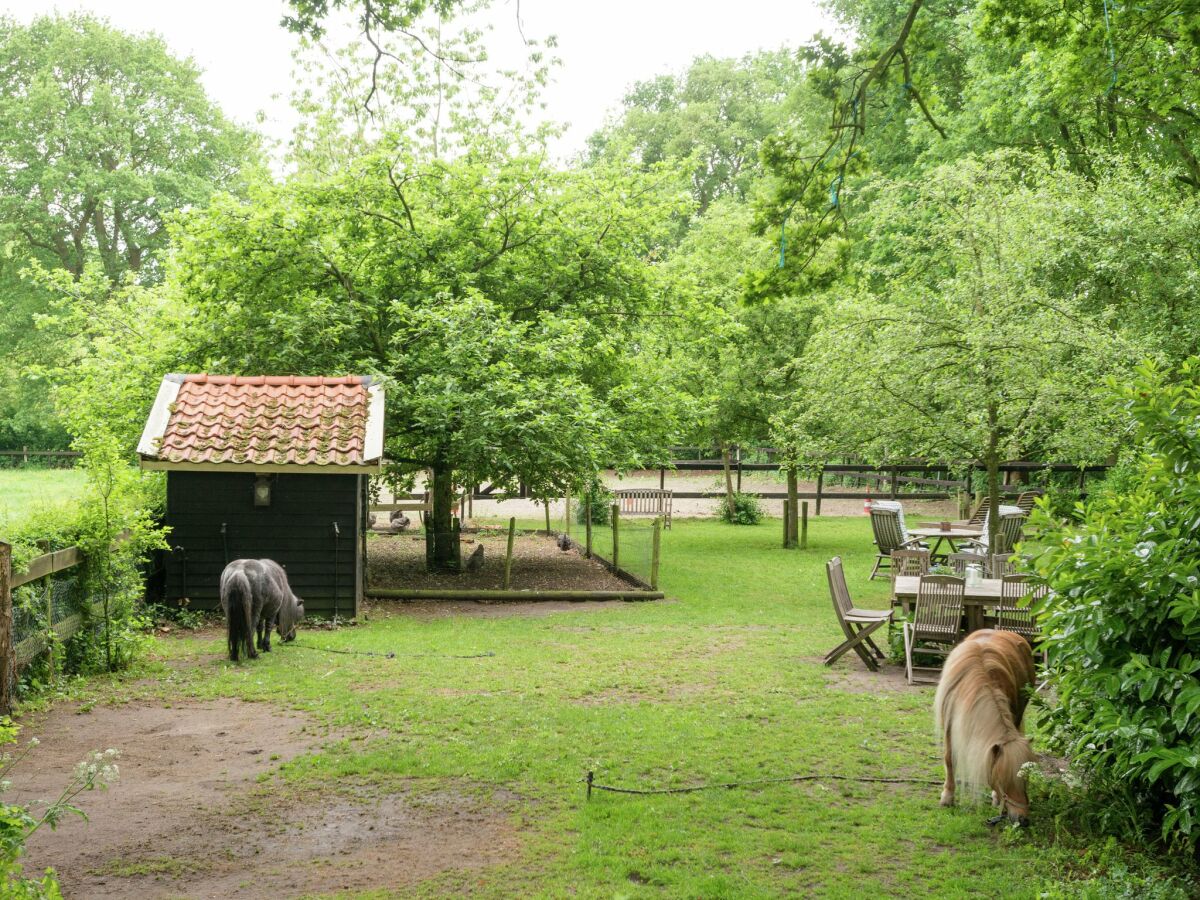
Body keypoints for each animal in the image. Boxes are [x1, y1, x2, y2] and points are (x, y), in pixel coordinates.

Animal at [931, 628, 1036, 830]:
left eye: (1026, 780)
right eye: (1004, 782)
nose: (1023, 820)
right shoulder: (949, 726)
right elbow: (949, 759)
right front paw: (948, 797)